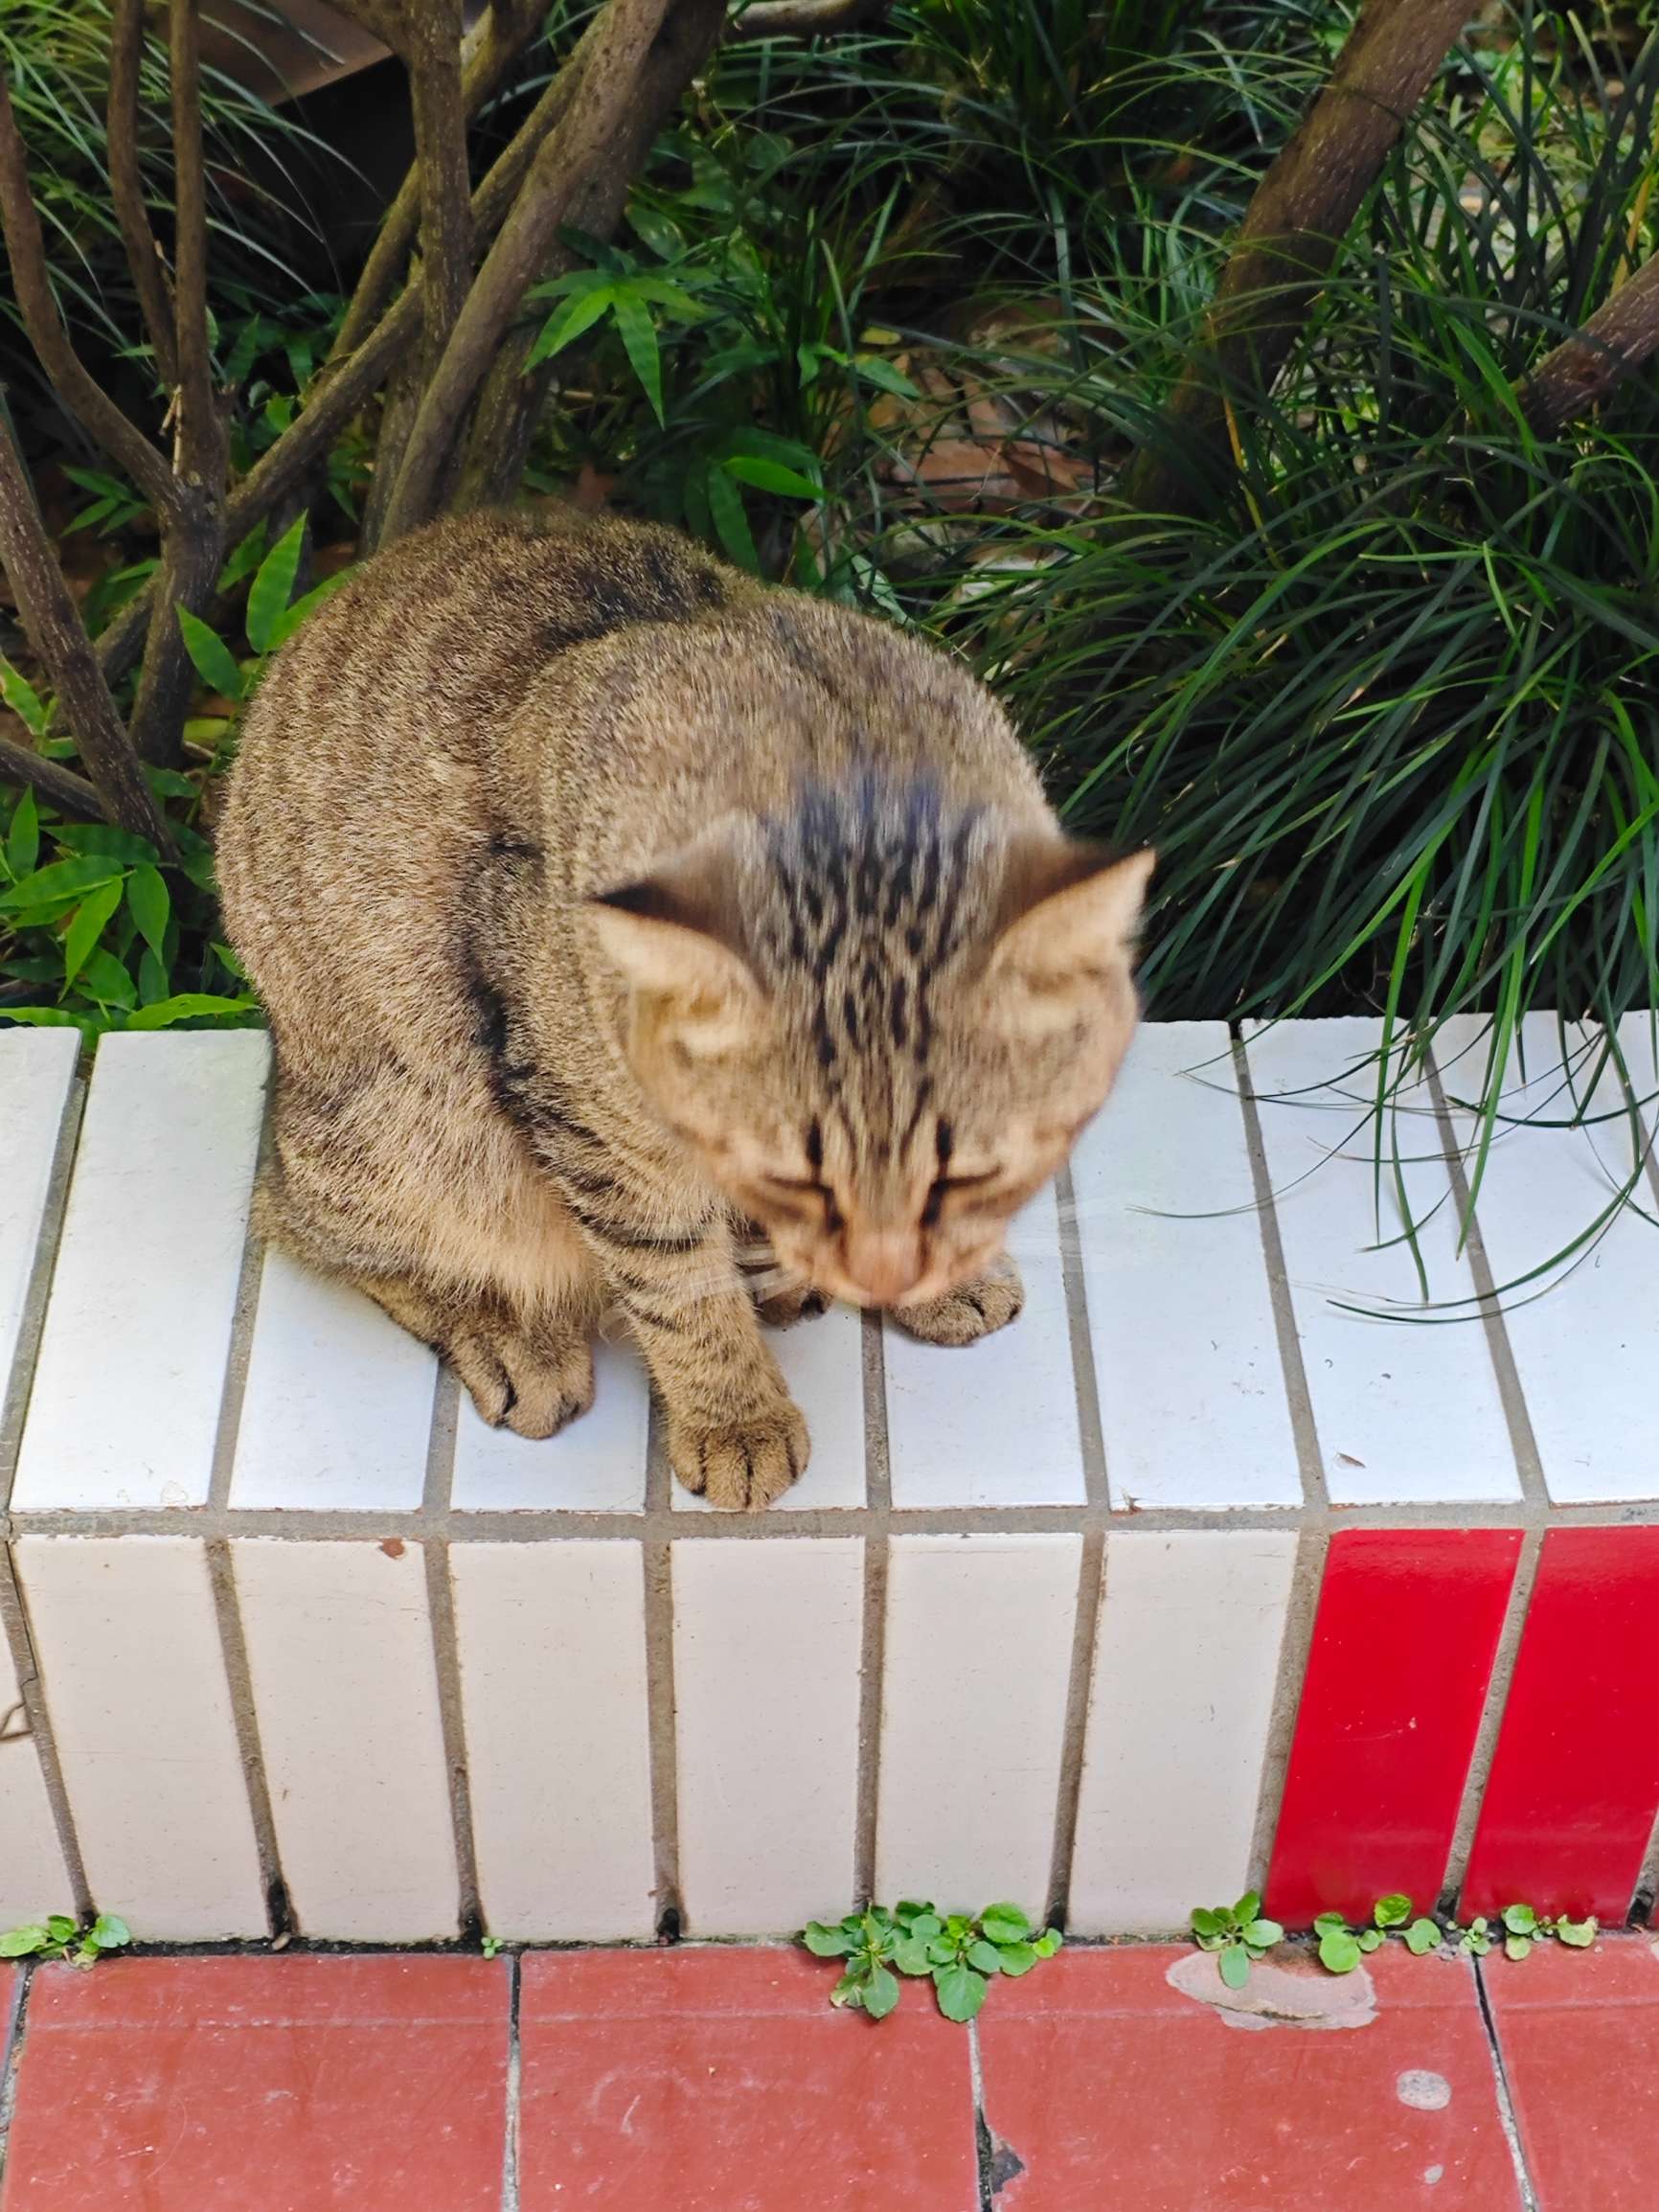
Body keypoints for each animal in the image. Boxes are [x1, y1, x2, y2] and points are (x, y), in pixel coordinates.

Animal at [216, 507, 1152, 1508]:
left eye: (966, 1171)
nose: (880, 1267)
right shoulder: (592, 1121)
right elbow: (673, 1279)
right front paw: (736, 1416)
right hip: (414, 1131)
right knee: (302, 1222)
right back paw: (512, 1333)